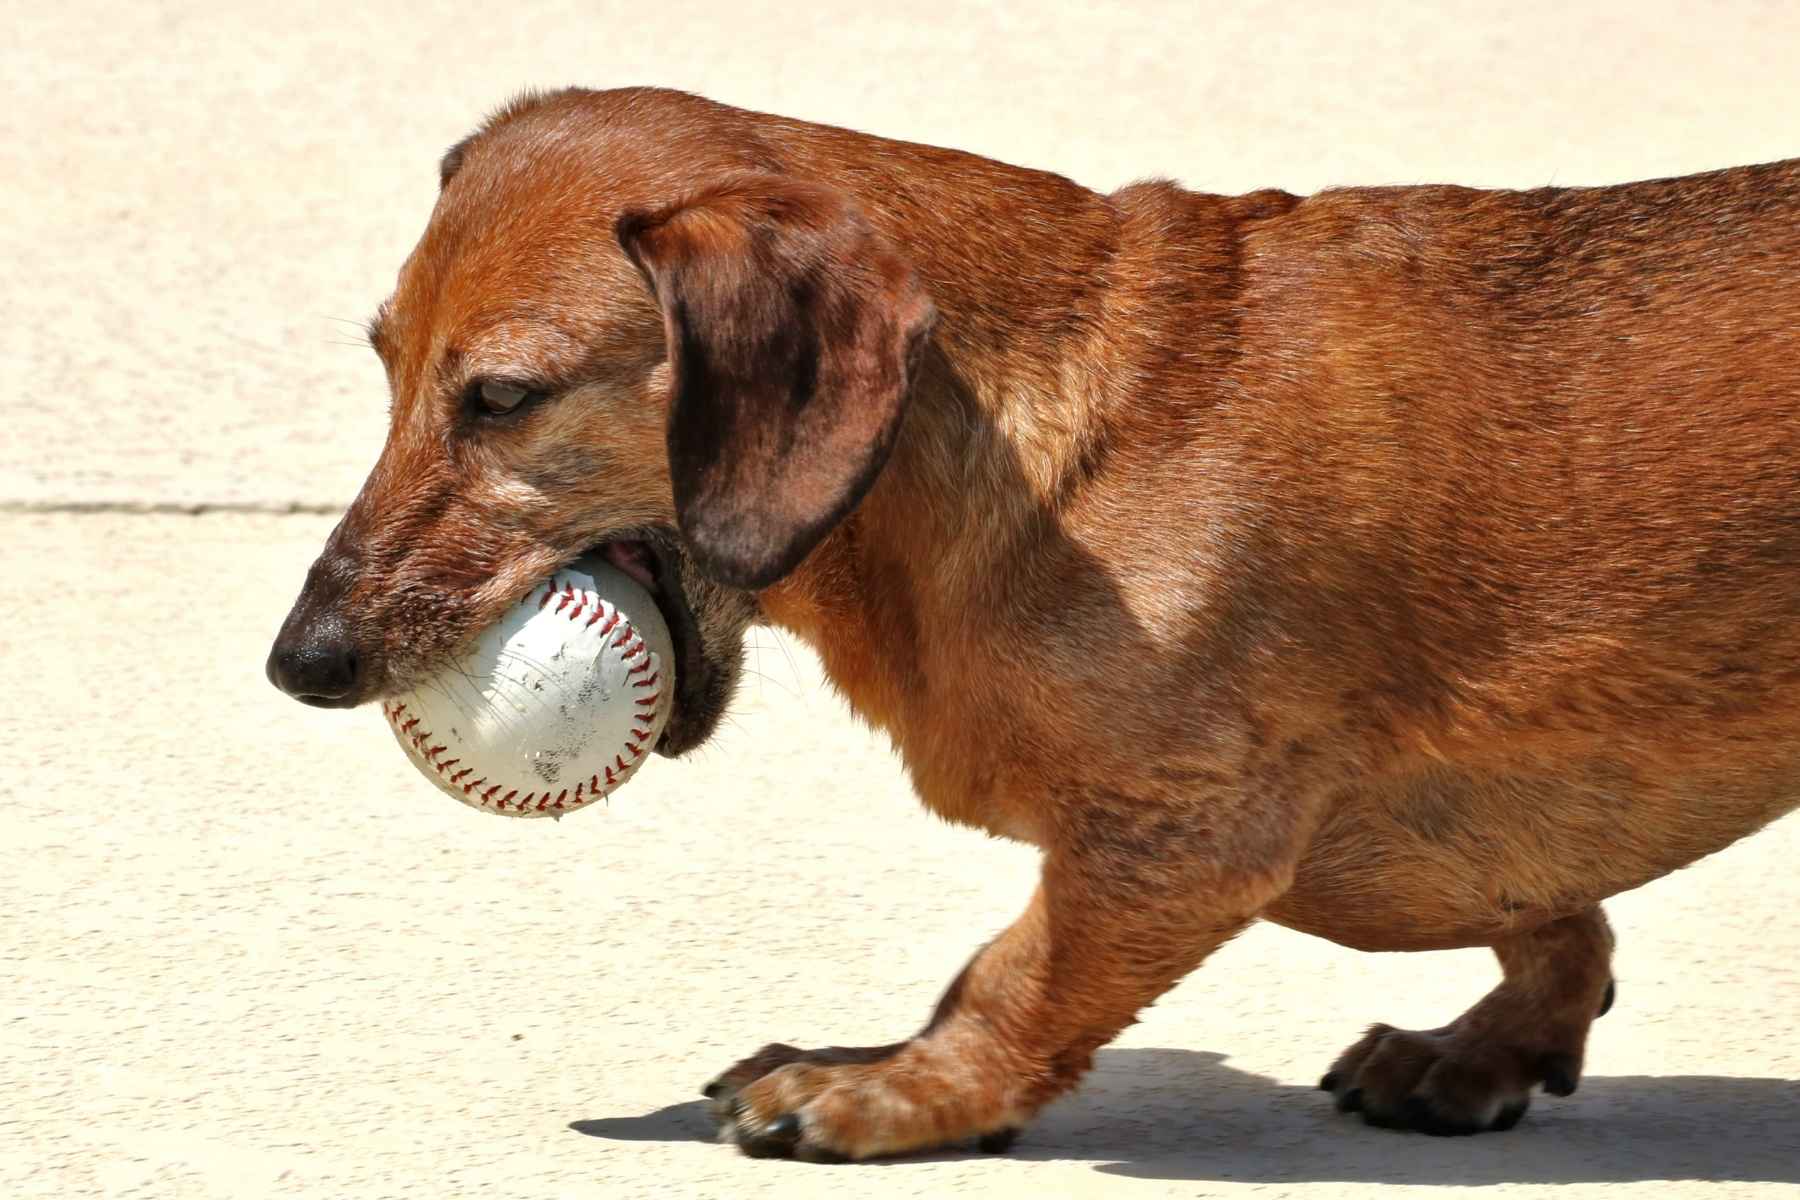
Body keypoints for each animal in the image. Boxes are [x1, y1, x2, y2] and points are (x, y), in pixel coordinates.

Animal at [266, 89, 1800, 1158]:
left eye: (504, 398)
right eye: (386, 366)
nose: (301, 663)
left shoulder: (1185, 833)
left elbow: (1013, 976)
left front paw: (890, 1087)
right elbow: (1554, 913)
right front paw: (1495, 1044)